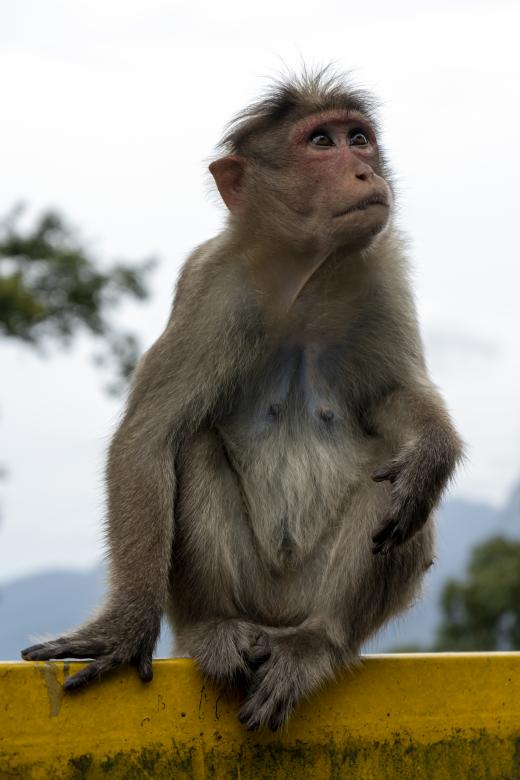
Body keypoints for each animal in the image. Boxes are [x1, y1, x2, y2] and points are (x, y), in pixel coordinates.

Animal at [22, 68, 464, 731]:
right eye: (321, 143)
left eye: (359, 138)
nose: (366, 171)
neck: (308, 278)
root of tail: (272, 618)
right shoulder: (211, 288)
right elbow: (149, 438)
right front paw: (126, 628)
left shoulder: (382, 274)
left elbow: (395, 399)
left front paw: (434, 451)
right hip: (240, 591)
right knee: (194, 447)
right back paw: (219, 629)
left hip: (306, 594)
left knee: (392, 488)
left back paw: (314, 641)